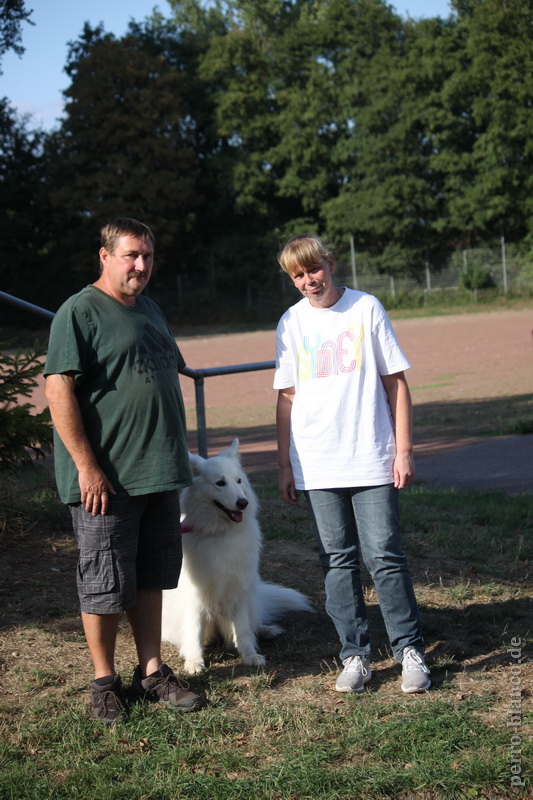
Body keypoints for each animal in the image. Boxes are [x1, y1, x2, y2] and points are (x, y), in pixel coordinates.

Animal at [161, 438, 313, 674]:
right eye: (220, 483)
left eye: (238, 480)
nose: (243, 503)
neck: (220, 532)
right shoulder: (195, 596)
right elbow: (194, 629)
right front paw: (194, 661)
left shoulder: (238, 589)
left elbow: (242, 629)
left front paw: (249, 655)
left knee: (253, 621)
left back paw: (266, 630)